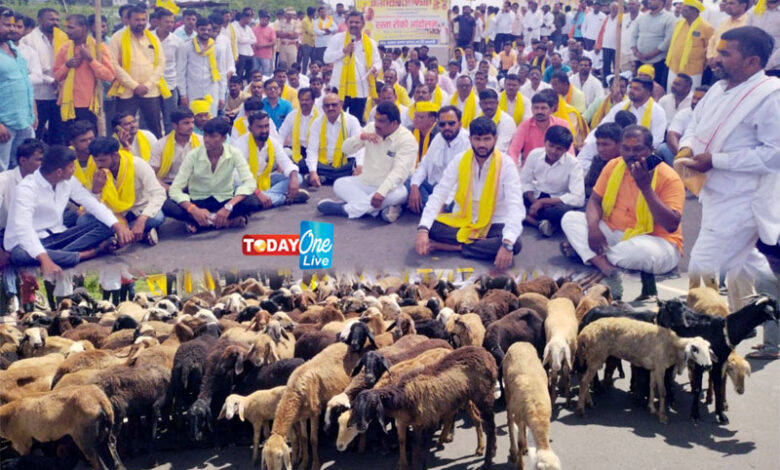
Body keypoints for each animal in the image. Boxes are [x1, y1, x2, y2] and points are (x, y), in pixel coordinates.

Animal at [350, 346, 498, 470]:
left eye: (372, 405)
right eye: (356, 407)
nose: (360, 426)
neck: (405, 395)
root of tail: (485, 353)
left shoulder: (429, 423)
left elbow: (423, 450)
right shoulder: (411, 423)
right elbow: (411, 446)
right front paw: (406, 463)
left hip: (483, 395)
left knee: (489, 425)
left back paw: (486, 458)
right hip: (456, 399)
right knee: (463, 416)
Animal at [576, 317, 713, 423]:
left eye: (708, 348)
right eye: (695, 349)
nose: (709, 366)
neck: (671, 346)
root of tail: (583, 334)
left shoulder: (653, 368)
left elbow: (652, 387)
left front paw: (651, 408)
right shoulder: (660, 367)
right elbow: (662, 392)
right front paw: (662, 417)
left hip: (590, 357)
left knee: (583, 379)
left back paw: (589, 403)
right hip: (596, 357)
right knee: (584, 381)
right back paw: (581, 410)